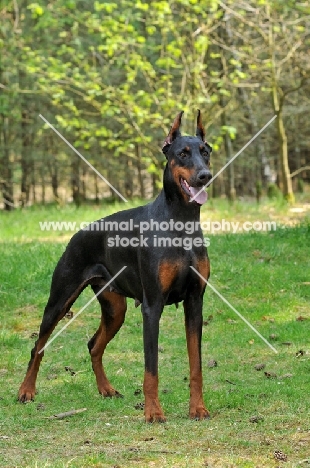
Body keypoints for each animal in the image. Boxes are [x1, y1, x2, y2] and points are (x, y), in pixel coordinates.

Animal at [18, 110, 213, 424]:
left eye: (205, 152)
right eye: (182, 153)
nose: (205, 176)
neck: (181, 222)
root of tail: (77, 233)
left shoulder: (195, 302)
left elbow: (196, 365)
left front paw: (198, 408)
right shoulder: (153, 306)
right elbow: (151, 369)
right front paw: (153, 412)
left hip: (114, 309)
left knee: (93, 345)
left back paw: (106, 389)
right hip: (60, 299)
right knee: (38, 346)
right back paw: (26, 391)